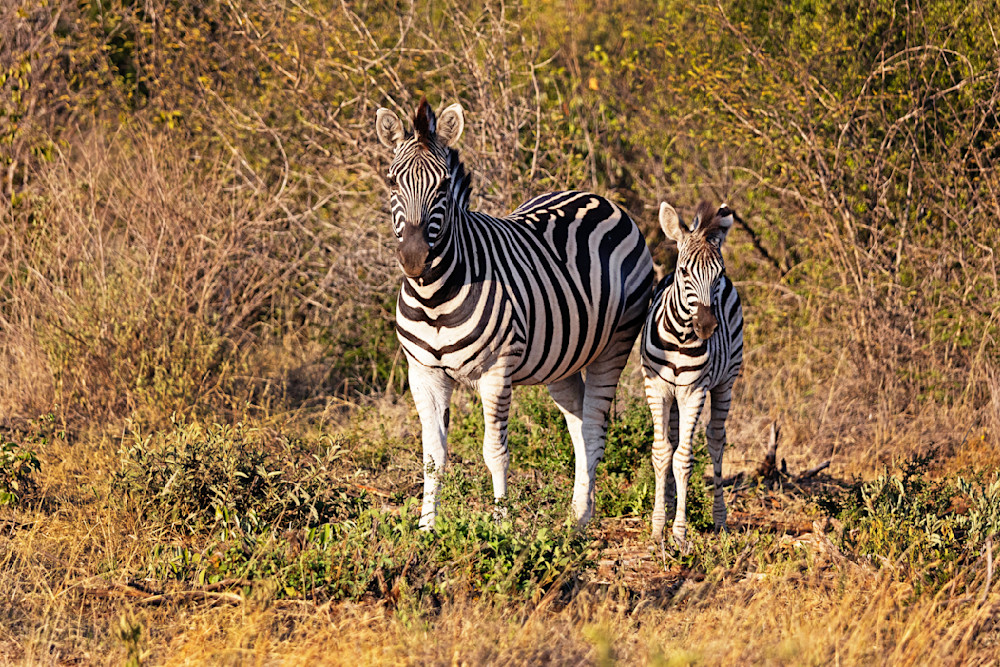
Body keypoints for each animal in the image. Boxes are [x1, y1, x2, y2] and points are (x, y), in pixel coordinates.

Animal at [375, 99, 654, 529]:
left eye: (443, 186)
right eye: (391, 182)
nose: (414, 258)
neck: (433, 296)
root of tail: (596, 197)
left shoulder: (496, 372)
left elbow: (495, 452)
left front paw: (501, 523)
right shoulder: (423, 373)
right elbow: (432, 457)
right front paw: (426, 527)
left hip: (616, 344)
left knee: (593, 426)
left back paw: (581, 521)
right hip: (562, 359)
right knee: (577, 424)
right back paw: (579, 508)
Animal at [641, 200, 744, 550]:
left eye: (719, 274)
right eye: (684, 271)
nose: (707, 327)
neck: (680, 337)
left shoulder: (694, 391)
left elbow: (683, 459)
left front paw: (679, 532)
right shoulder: (656, 388)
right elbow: (662, 454)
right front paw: (659, 525)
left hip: (726, 382)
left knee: (716, 440)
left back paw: (719, 518)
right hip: (672, 395)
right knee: (671, 441)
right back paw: (671, 502)